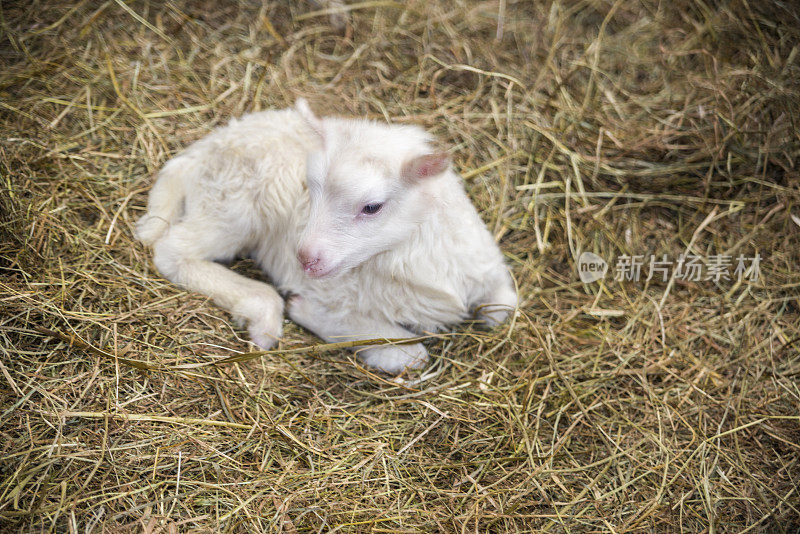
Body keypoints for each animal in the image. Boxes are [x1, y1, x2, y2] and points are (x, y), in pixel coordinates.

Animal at [134, 101, 516, 376]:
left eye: (372, 207)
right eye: (310, 188)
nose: (304, 257)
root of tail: (199, 152)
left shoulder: (484, 268)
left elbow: (503, 309)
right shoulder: (329, 291)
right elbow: (413, 355)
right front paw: (306, 312)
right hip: (236, 204)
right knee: (173, 251)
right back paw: (264, 314)